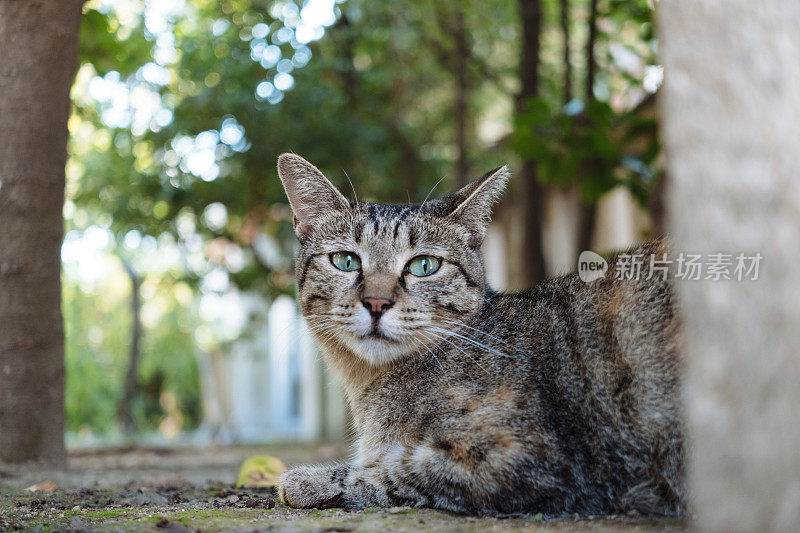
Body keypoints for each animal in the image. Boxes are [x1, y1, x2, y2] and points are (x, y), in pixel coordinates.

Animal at [276, 153, 680, 516]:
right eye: (346, 261)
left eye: (424, 265)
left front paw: (313, 480)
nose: (376, 302)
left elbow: (399, 466)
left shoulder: (527, 457)